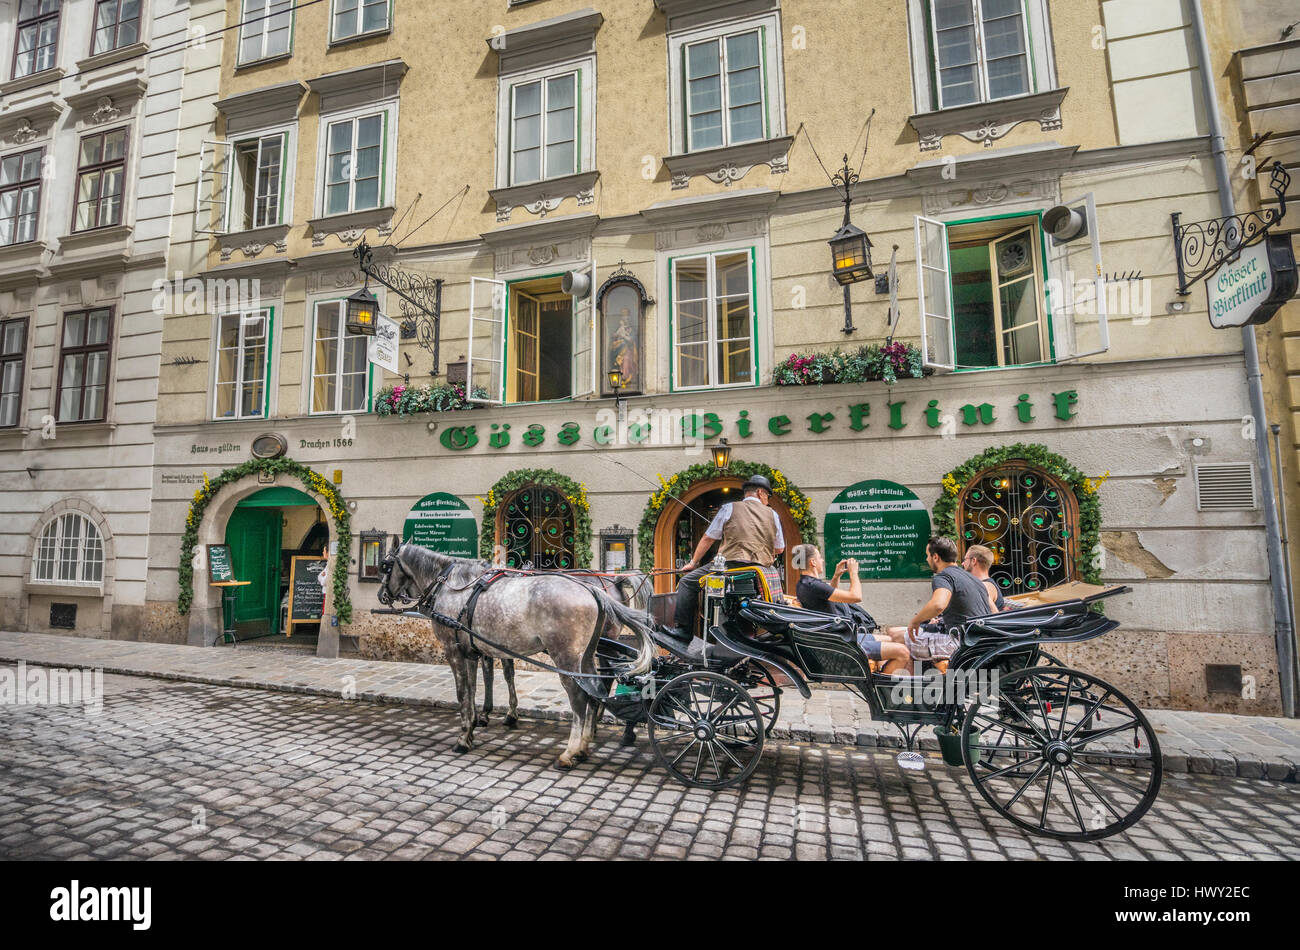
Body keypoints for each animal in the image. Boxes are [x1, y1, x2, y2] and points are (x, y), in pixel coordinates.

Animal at [379, 538, 655, 769]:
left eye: (385, 566)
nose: (382, 595)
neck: (452, 587)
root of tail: (595, 590)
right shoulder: (473, 651)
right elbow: (475, 688)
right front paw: (476, 725)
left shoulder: (454, 650)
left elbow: (464, 693)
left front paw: (465, 736)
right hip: (586, 656)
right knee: (595, 690)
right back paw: (585, 745)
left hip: (566, 657)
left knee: (579, 697)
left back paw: (570, 752)